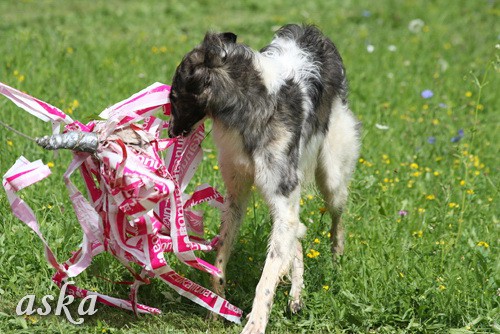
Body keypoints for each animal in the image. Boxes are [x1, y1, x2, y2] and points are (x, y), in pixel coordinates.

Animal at [168, 24, 360, 332]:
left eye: (174, 96)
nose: (171, 132)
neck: (249, 107)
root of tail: (311, 31)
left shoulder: (282, 196)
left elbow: (267, 278)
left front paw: (255, 324)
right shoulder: (237, 195)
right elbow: (221, 257)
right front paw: (216, 309)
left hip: (331, 177)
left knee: (336, 221)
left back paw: (335, 262)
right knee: (297, 237)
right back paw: (296, 297)